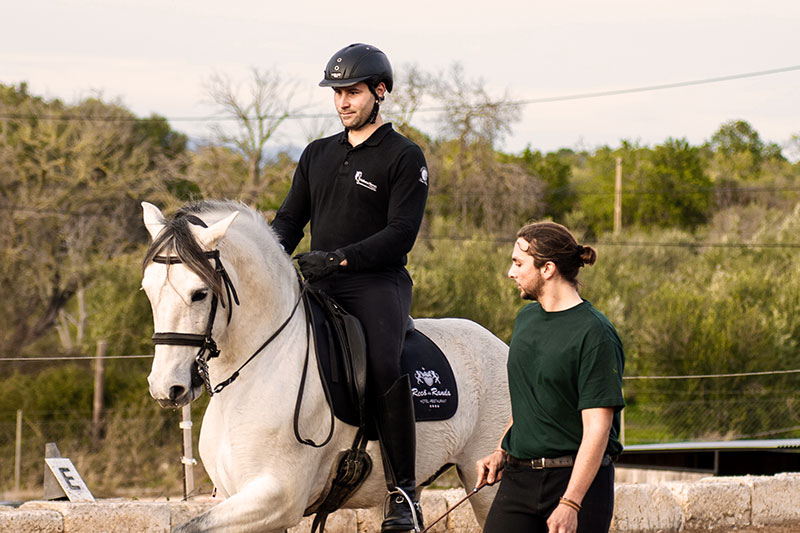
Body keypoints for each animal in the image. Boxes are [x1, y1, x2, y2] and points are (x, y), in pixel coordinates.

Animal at [141, 200, 510, 532]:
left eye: (199, 293)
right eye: (148, 289)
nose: (166, 387)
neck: (257, 368)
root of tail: (503, 347)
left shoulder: (276, 498)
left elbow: (186, 528)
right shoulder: (244, 501)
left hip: (486, 486)